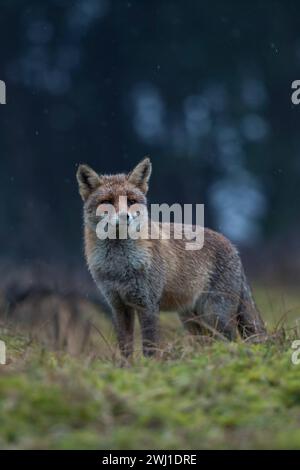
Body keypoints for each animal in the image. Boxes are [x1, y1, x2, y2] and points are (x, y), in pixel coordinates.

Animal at [76, 158, 266, 356]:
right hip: (192, 321)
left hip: (216, 316)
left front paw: (149, 364)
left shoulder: (148, 304)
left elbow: (150, 347)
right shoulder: (118, 305)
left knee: (234, 341)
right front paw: (127, 365)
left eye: (131, 201)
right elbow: (125, 349)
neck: (119, 267)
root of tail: (233, 246)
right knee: (210, 344)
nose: (124, 217)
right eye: (107, 201)